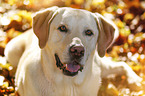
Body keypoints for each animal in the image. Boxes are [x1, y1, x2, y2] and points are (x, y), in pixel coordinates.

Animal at [4, 6, 142, 95]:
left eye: (88, 32)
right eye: (62, 28)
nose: (77, 50)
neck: (68, 84)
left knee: (122, 64)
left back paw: (135, 81)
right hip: (10, 51)